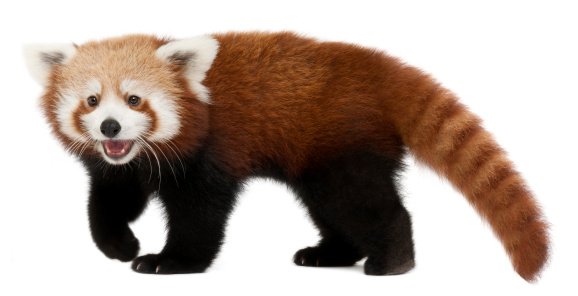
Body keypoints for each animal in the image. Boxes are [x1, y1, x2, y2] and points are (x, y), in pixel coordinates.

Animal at [23, 31, 544, 282]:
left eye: (134, 100)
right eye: (92, 101)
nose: (110, 127)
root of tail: (376, 67)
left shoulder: (212, 154)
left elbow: (200, 216)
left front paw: (171, 262)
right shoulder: (120, 168)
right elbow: (109, 202)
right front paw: (119, 245)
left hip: (342, 147)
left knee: (364, 204)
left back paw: (392, 262)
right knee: (333, 210)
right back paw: (329, 254)